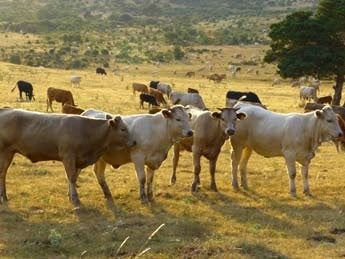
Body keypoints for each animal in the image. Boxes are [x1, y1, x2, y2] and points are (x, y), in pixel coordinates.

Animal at [0, 107, 134, 207]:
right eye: (123, 129)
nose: (134, 142)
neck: (86, 130)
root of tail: (5, 110)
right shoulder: (68, 157)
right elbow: (72, 177)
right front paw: (75, 199)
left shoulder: (77, 159)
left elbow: (73, 177)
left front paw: (70, 195)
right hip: (6, 152)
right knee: (2, 173)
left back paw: (4, 196)